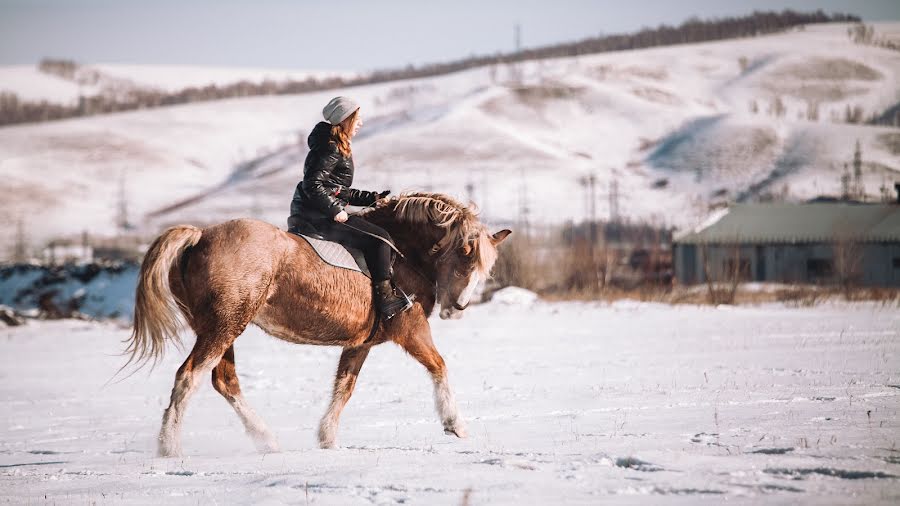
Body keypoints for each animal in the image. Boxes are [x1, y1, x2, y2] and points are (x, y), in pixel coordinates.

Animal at [124, 192, 510, 456]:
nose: (457, 308)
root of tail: (200, 236)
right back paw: (169, 448)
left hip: (219, 328)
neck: (403, 255)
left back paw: (267, 440)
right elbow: (439, 367)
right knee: (189, 377)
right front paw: (455, 425)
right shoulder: (410, 330)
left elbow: (344, 387)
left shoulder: (360, 343)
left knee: (224, 381)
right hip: (224, 326)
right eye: (465, 256)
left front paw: (327, 439)